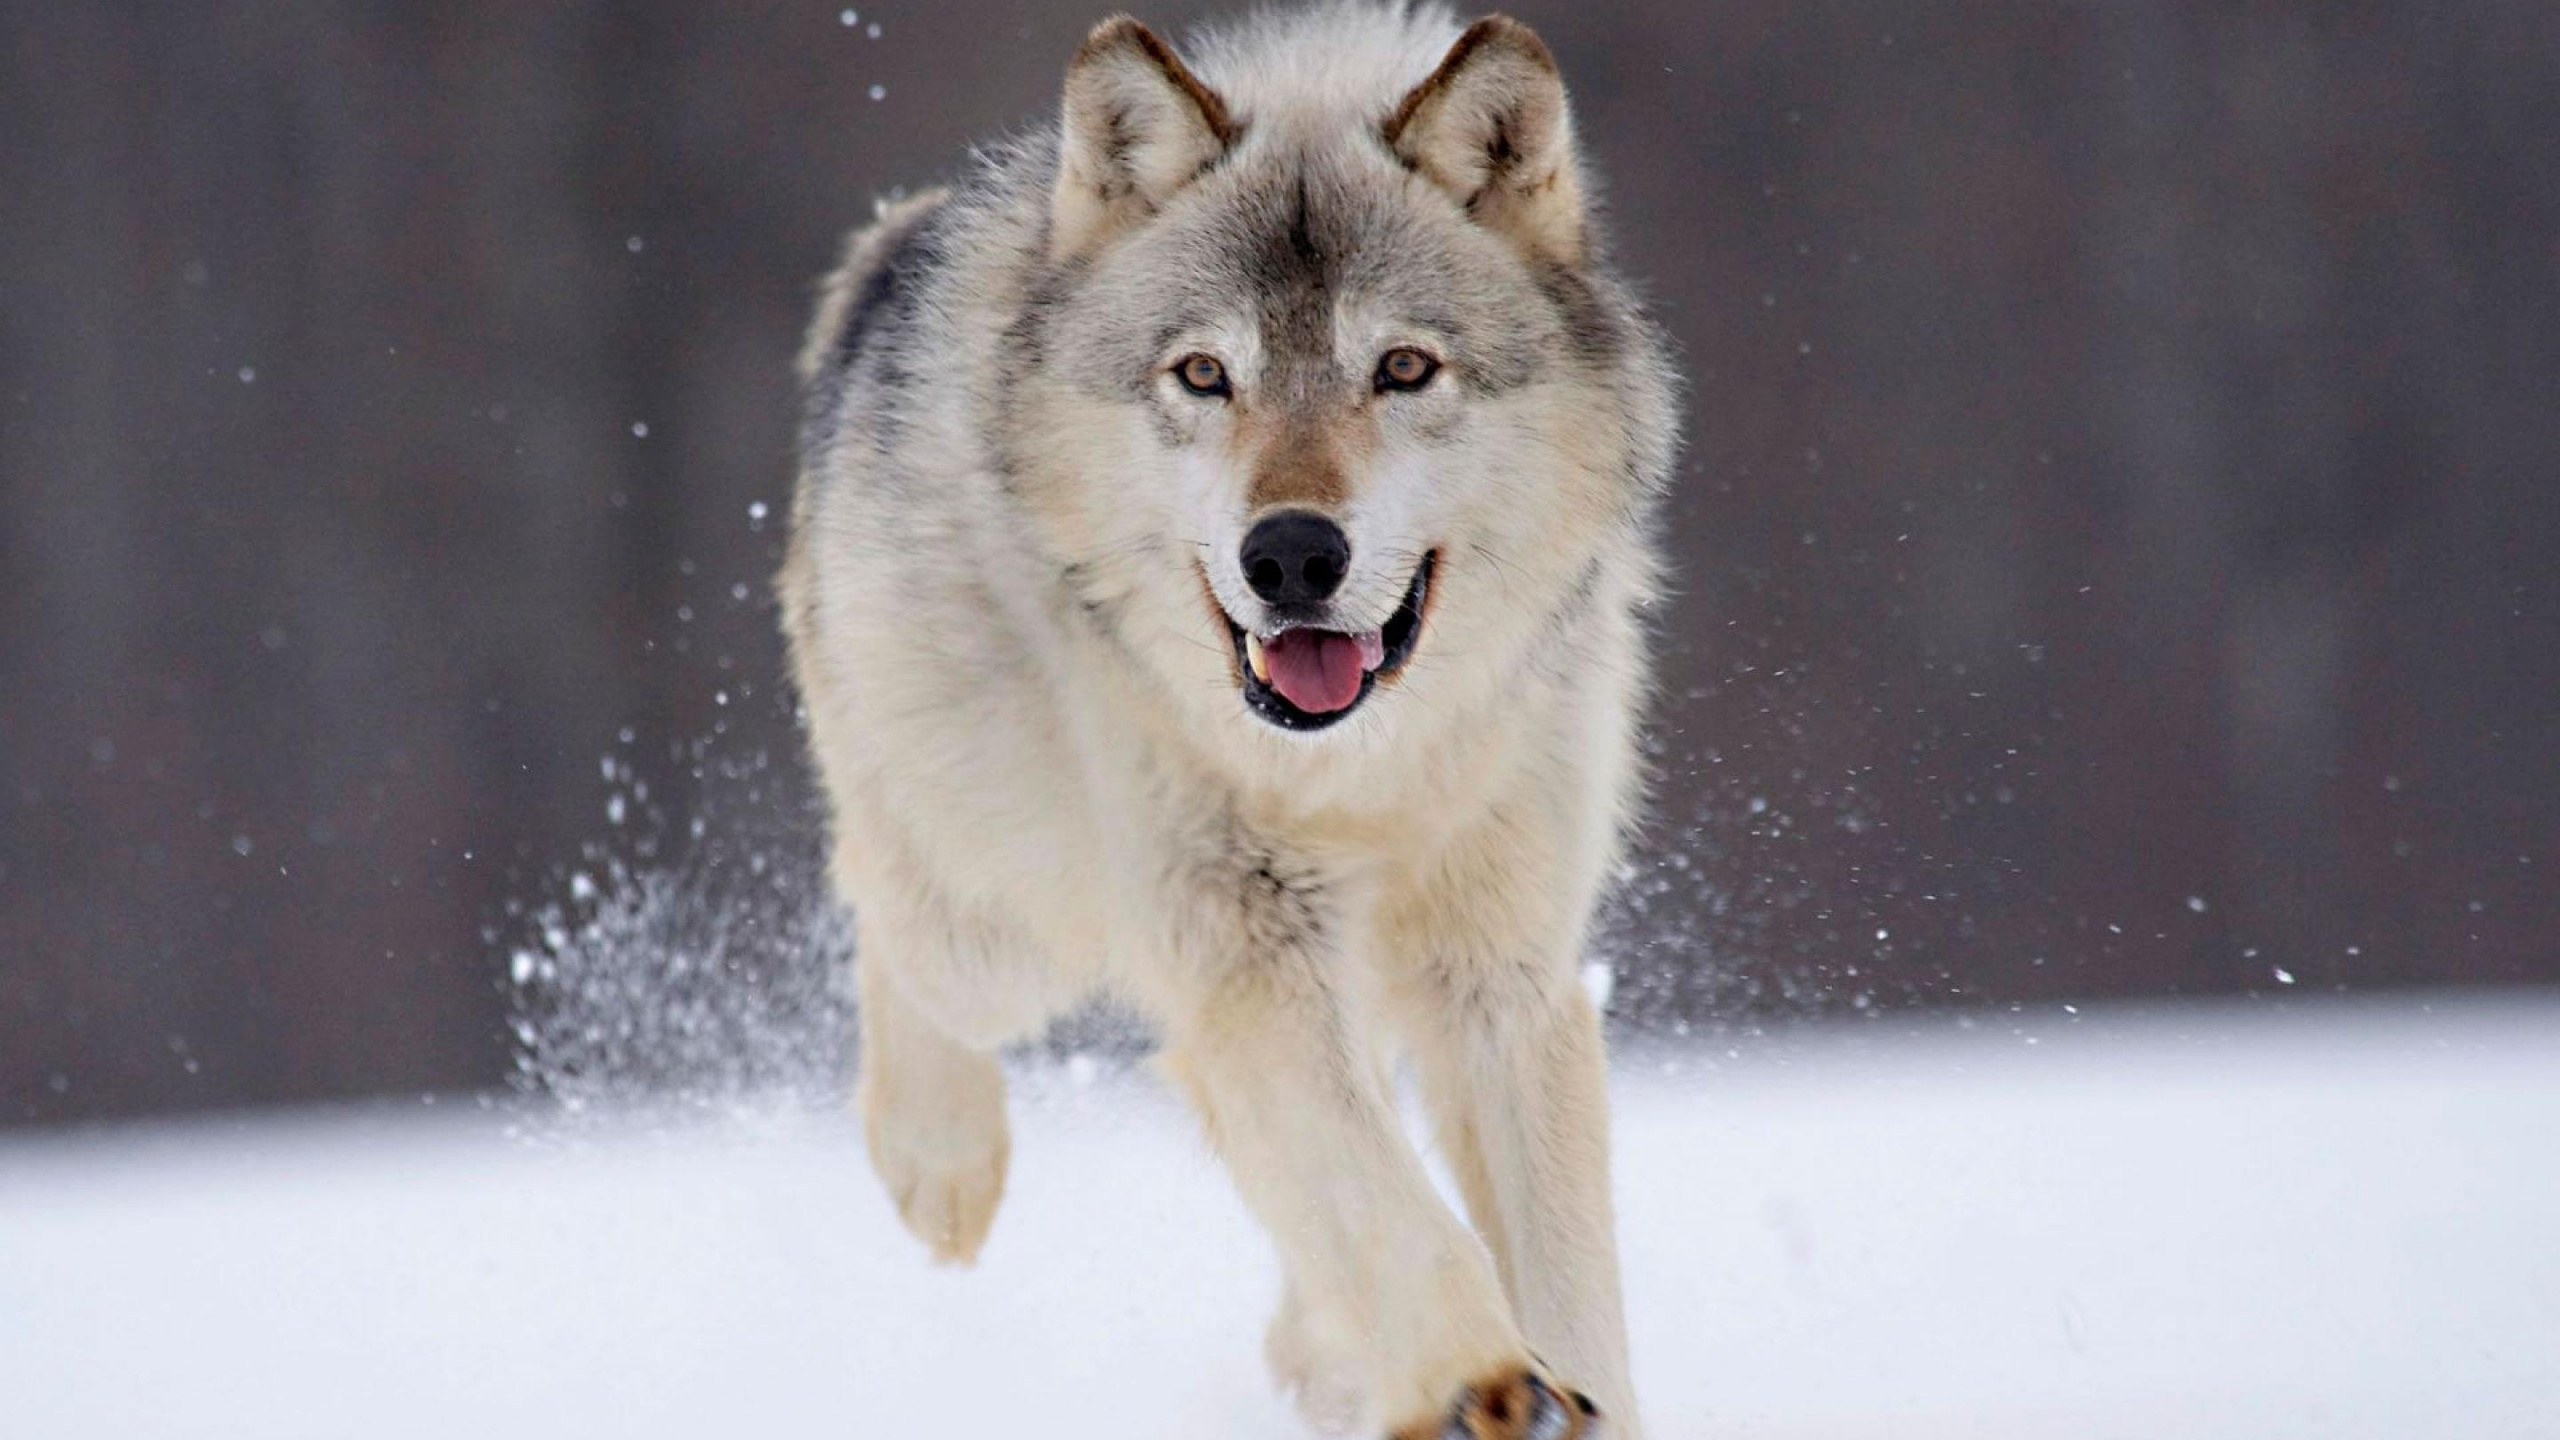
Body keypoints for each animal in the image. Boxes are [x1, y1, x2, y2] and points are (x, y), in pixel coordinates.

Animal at [779, 4, 1677, 1434]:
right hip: (1002, 920)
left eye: (1402, 367)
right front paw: (1481, 1379)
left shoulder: (1503, 974)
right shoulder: (1243, 944)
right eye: (1204, 374)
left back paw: (1319, 1355)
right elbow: (1385, 1204)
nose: (1293, 556)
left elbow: (1560, 1271)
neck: (1357, 776)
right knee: (882, 903)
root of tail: (894, 244)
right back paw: (941, 1166)